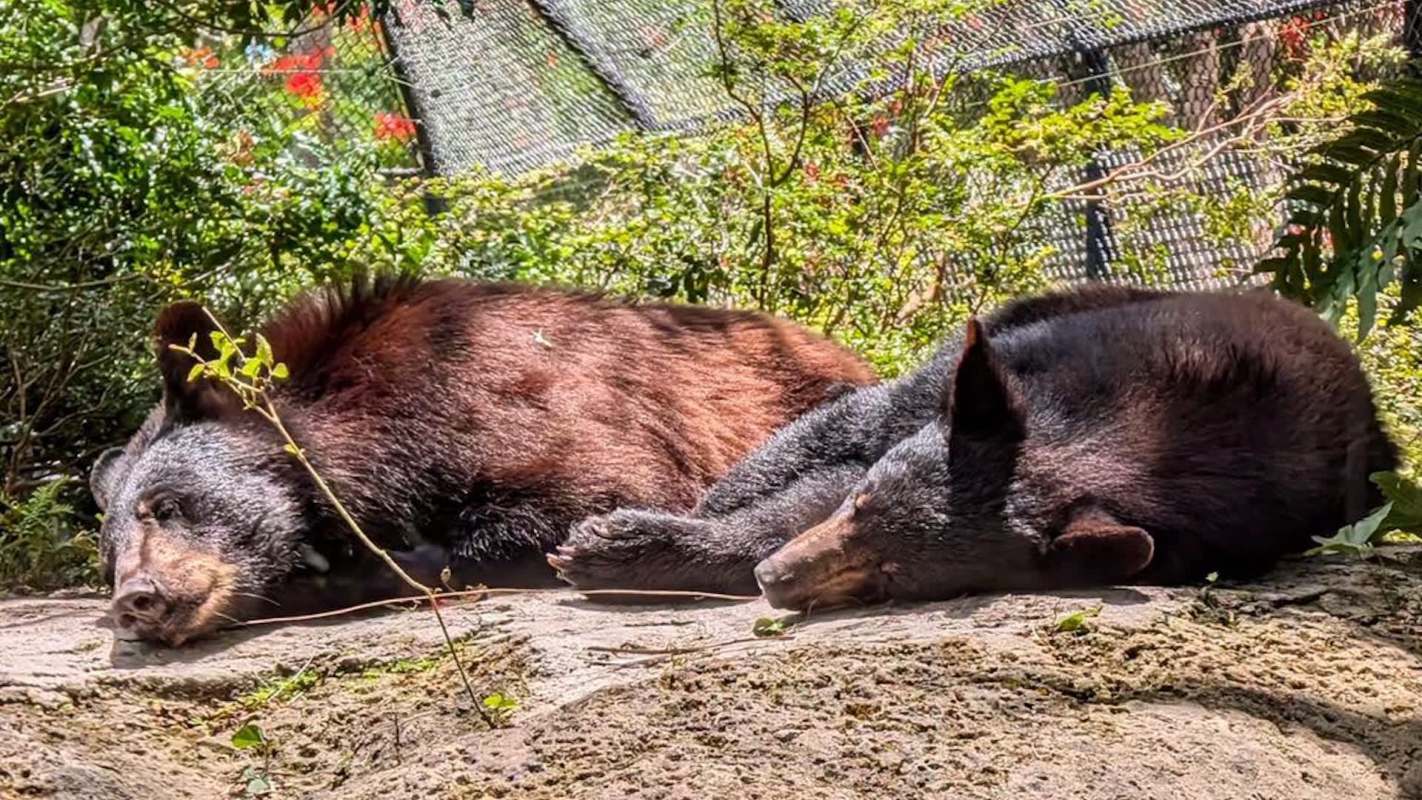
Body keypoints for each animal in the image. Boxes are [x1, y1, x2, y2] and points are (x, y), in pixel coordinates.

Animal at [89, 275, 875, 644]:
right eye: (109, 554)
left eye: (166, 505)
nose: (137, 600)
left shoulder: (511, 396)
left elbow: (572, 497)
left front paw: (335, 573)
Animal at [551, 287, 1398, 607]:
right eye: (861, 504)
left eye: (893, 577)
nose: (773, 581)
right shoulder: (1034, 363)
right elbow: (838, 444)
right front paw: (647, 535)